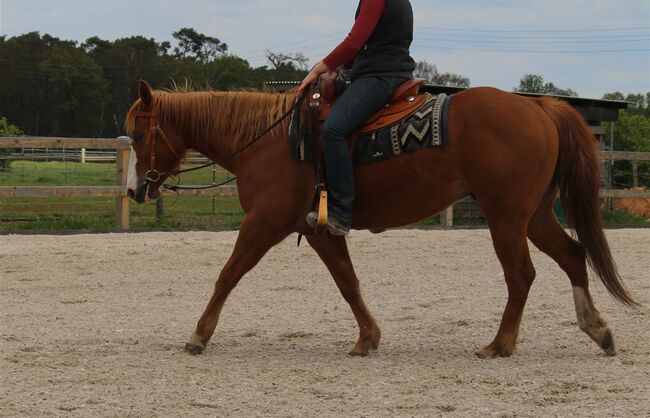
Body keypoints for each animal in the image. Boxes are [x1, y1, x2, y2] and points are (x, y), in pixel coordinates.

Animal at [126, 80, 632, 358]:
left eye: (138, 133)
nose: (135, 190)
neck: (268, 140)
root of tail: (537, 106)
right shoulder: (318, 230)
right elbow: (348, 282)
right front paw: (367, 338)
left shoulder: (265, 224)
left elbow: (227, 275)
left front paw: (198, 335)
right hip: (535, 215)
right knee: (573, 255)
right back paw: (597, 329)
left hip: (506, 217)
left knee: (521, 275)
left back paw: (500, 344)